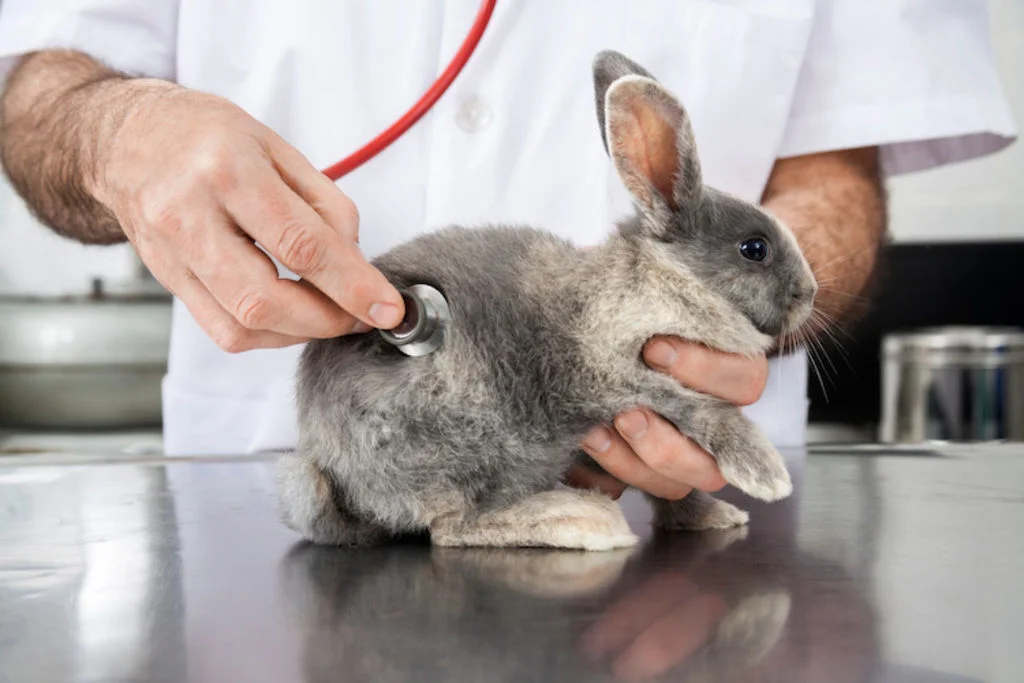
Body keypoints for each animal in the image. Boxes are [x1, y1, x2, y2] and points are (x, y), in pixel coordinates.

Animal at [275, 49, 817, 551]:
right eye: (755, 249)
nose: (809, 294)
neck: (662, 283)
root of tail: (339, 479)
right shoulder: (617, 381)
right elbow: (703, 410)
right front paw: (766, 473)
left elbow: (670, 488)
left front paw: (712, 515)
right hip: (465, 436)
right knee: (452, 528)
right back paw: (582, 520)